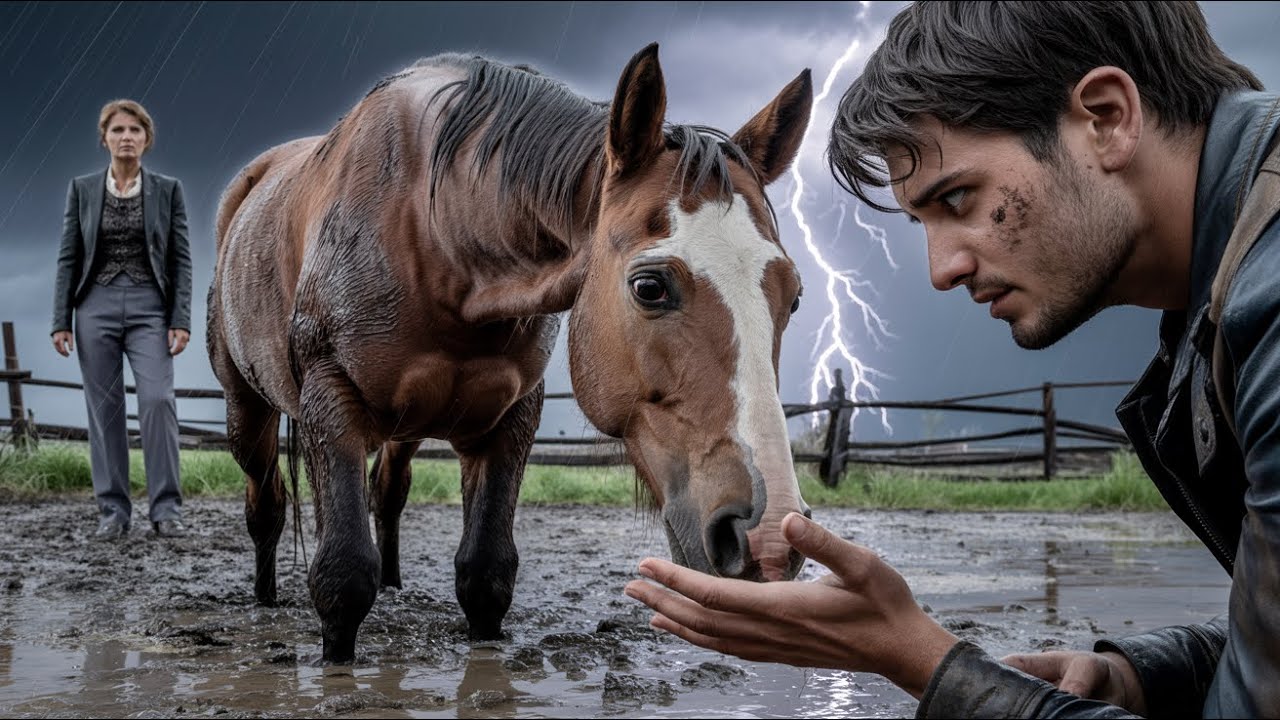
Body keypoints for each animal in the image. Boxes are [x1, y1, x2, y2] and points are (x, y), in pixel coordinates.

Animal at [206, 43, 814, 663]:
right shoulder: (333, 402)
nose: (767, 538)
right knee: (267, 506)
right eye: (650, 287)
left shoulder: (509, 419)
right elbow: (344, 577)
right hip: (248, 413)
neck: (436, 231)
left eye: (793, 297)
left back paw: (394, 584)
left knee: (388, 496)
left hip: (404, 430)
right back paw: (265, 597)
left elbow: (485, 575)